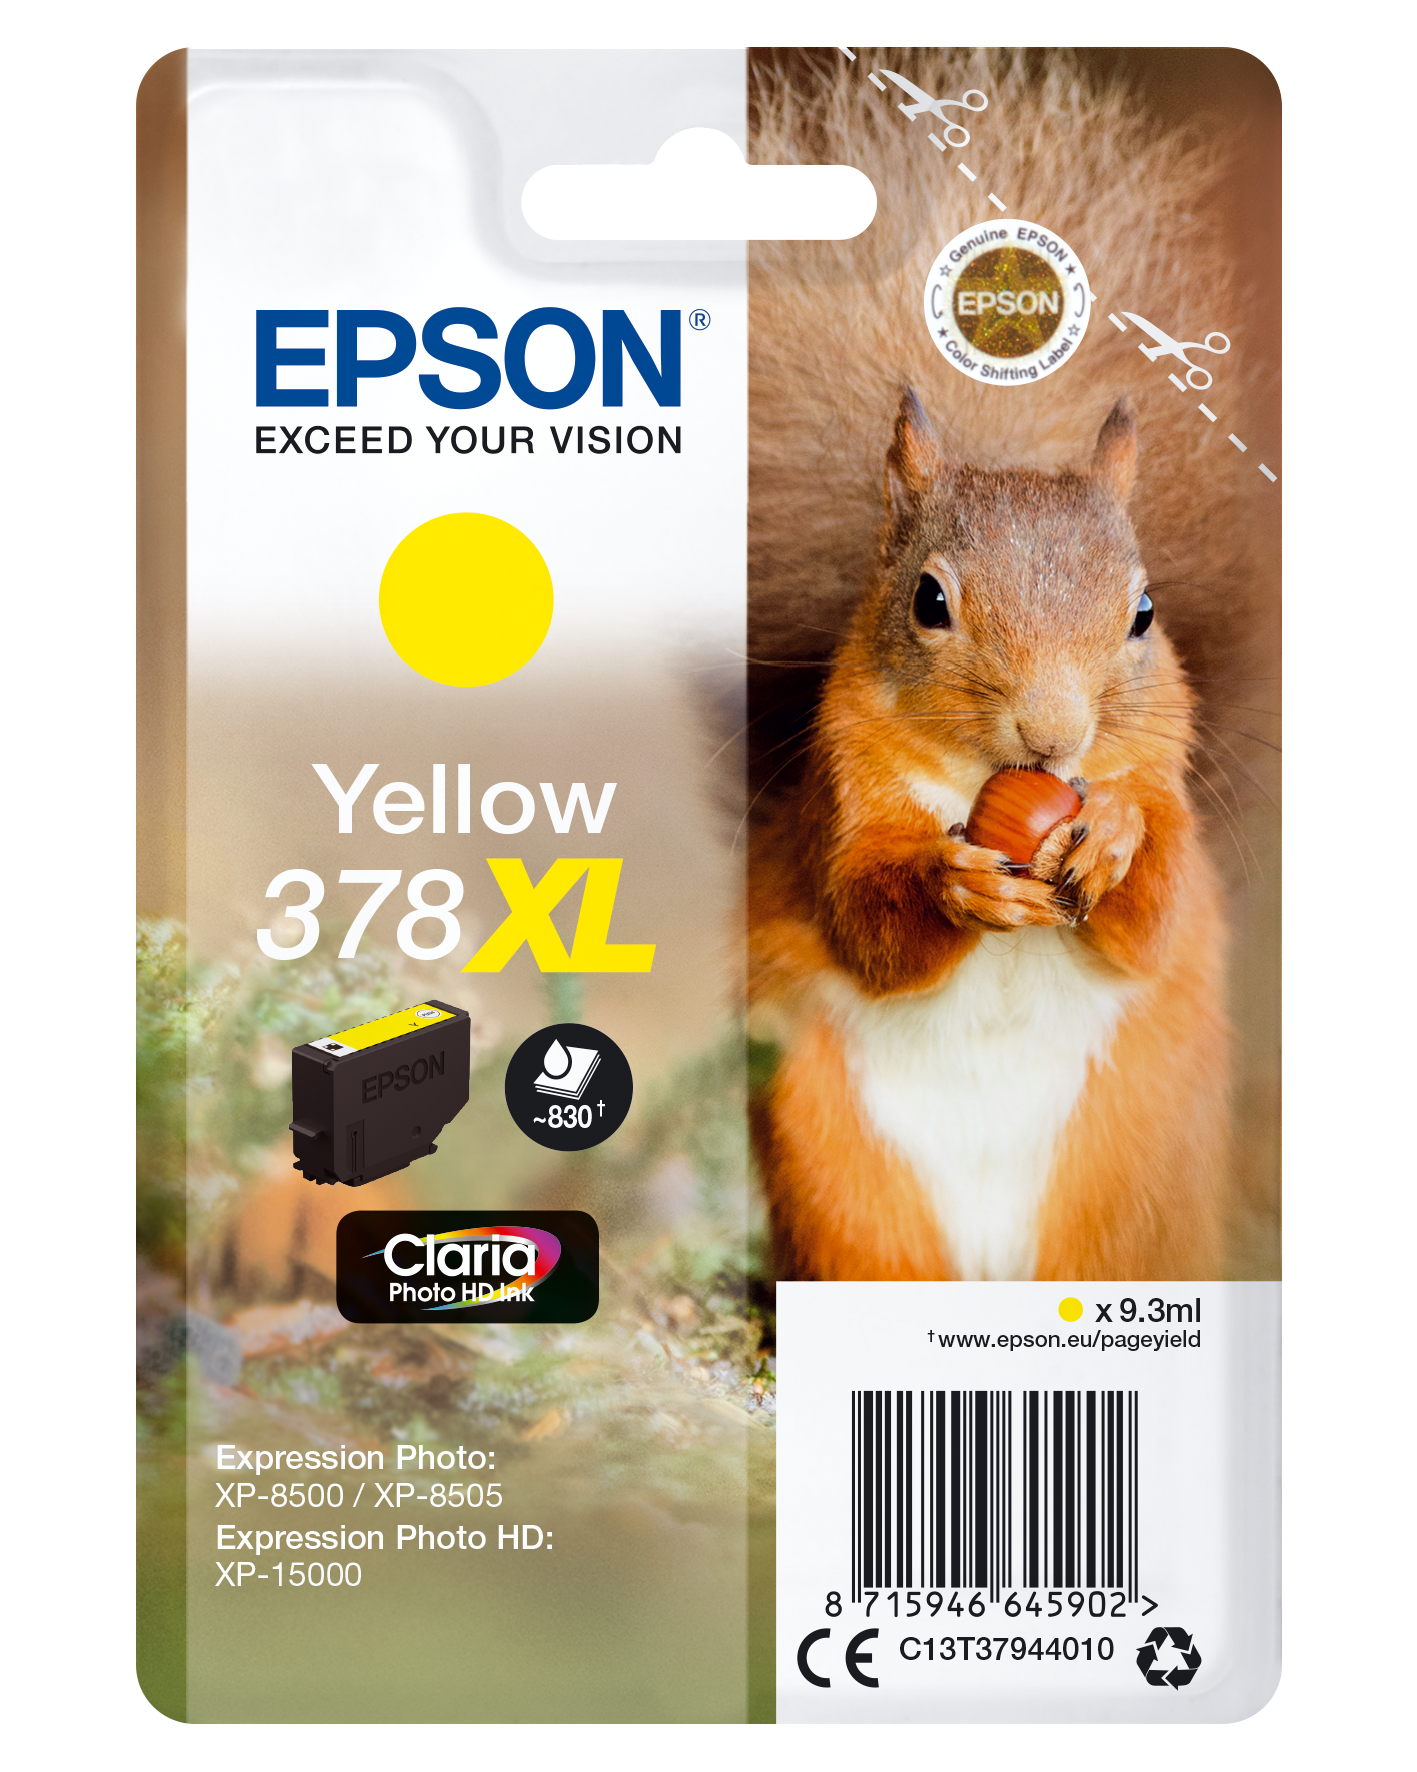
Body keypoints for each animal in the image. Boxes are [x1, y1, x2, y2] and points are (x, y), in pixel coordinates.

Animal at [744, 50, 1277, 1282]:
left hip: (1131, 1184)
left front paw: (1114, 837)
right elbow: (865, 917)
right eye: (928, 601)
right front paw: (958, 883)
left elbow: (1155, 910)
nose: (1053, 735)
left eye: (1143, 613)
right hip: (839, 1176)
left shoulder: (1168, 789)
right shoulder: (841, 802)